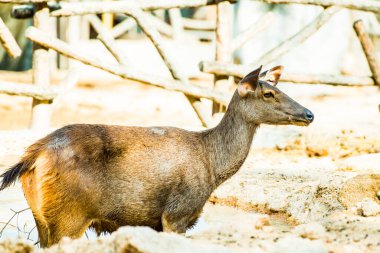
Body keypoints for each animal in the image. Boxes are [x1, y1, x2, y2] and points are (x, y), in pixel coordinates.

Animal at [0, 65, 314, 247]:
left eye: (277, 88)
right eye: (267, 94)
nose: (309, 113)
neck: (212, 167)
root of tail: (34, 156)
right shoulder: (178, 213)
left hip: (42, 218)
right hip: (69, 216)